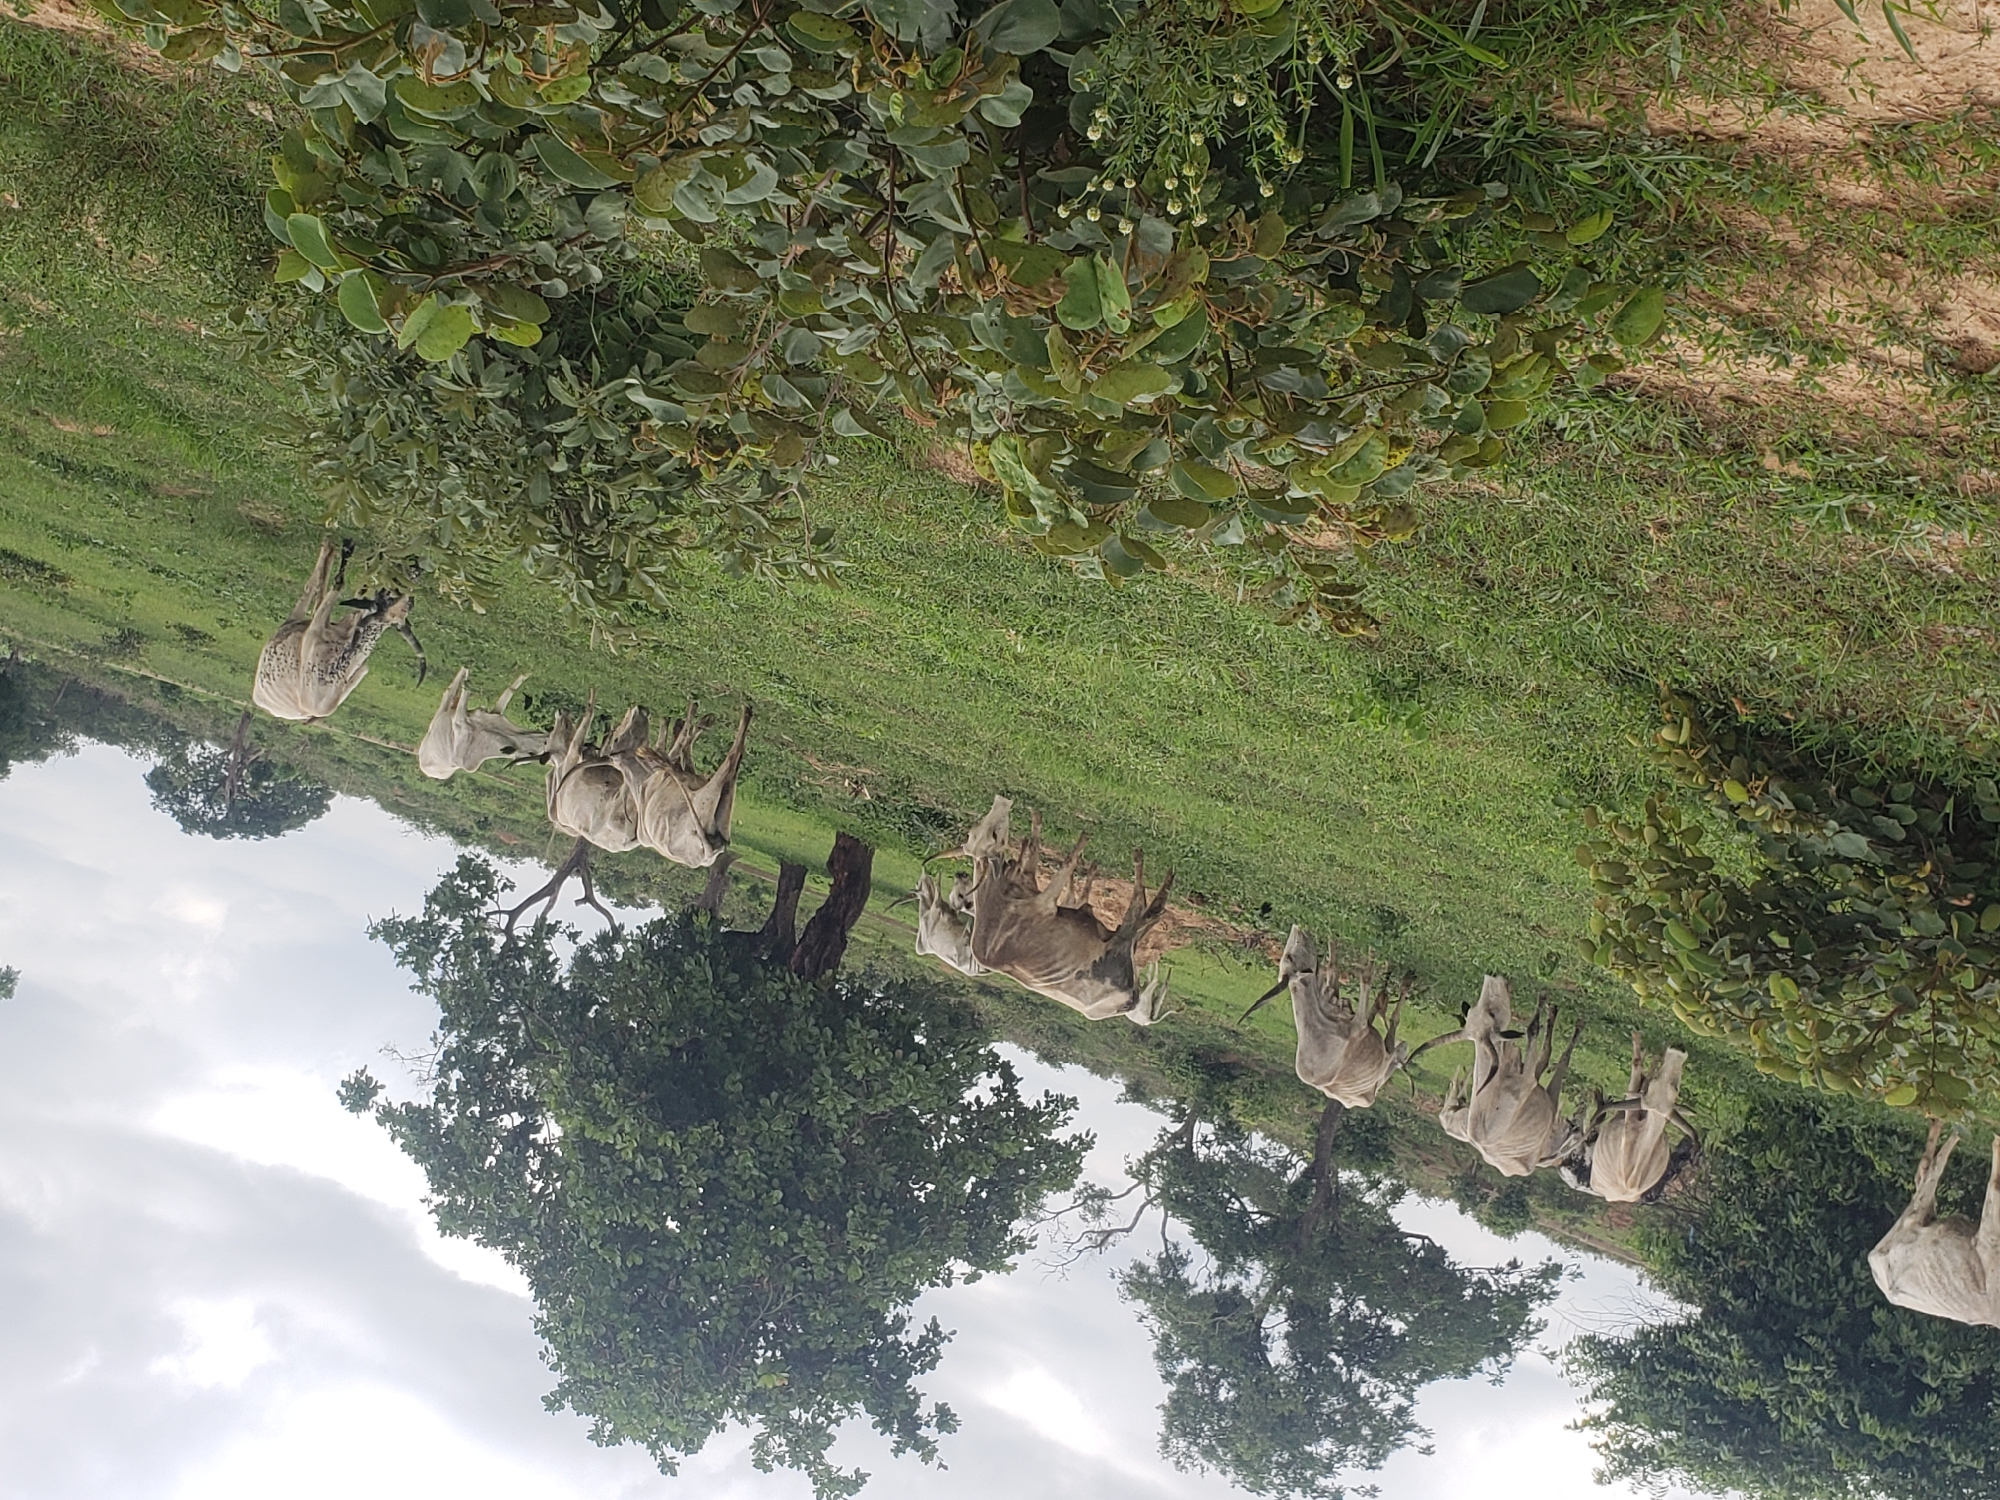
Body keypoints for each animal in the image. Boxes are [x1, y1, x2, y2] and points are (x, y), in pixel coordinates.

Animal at [253, 537, 424, 723]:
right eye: (395, 595)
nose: (416, 564)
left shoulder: (321, 633)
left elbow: (340, 585)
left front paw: (345, 550)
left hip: (297, 623)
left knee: (311, 593)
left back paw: (328, 550)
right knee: (315, 596)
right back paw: (329, 550)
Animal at [959, 795, 1173, 1024]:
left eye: (976, 833)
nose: (1000, 804)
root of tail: (1128, 1003)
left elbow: (1041, 853)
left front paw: (1036, 822)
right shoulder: (1042, 902)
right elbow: (1065, 863)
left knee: (1143, 913)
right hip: (1118, 947)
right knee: (1142, 910)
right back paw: (1148, 866)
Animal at [1240, 926, 1409, 1108]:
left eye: (1288, 957)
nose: (1296, 929)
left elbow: (1333, 965)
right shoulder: (1360, 1026)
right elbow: (1364, 978)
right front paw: (1372, 955)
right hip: (1384, 1064)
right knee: (1393, 1036)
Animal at [1869, 1121, 2000, 1328]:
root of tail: (1873, 1257)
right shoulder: (1988, 1240)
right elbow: (1995, 1185)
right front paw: (1996, 1139)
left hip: (1917, 1220)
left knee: (1925, 1172)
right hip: (1914, 1220)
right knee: (1933, 1168)